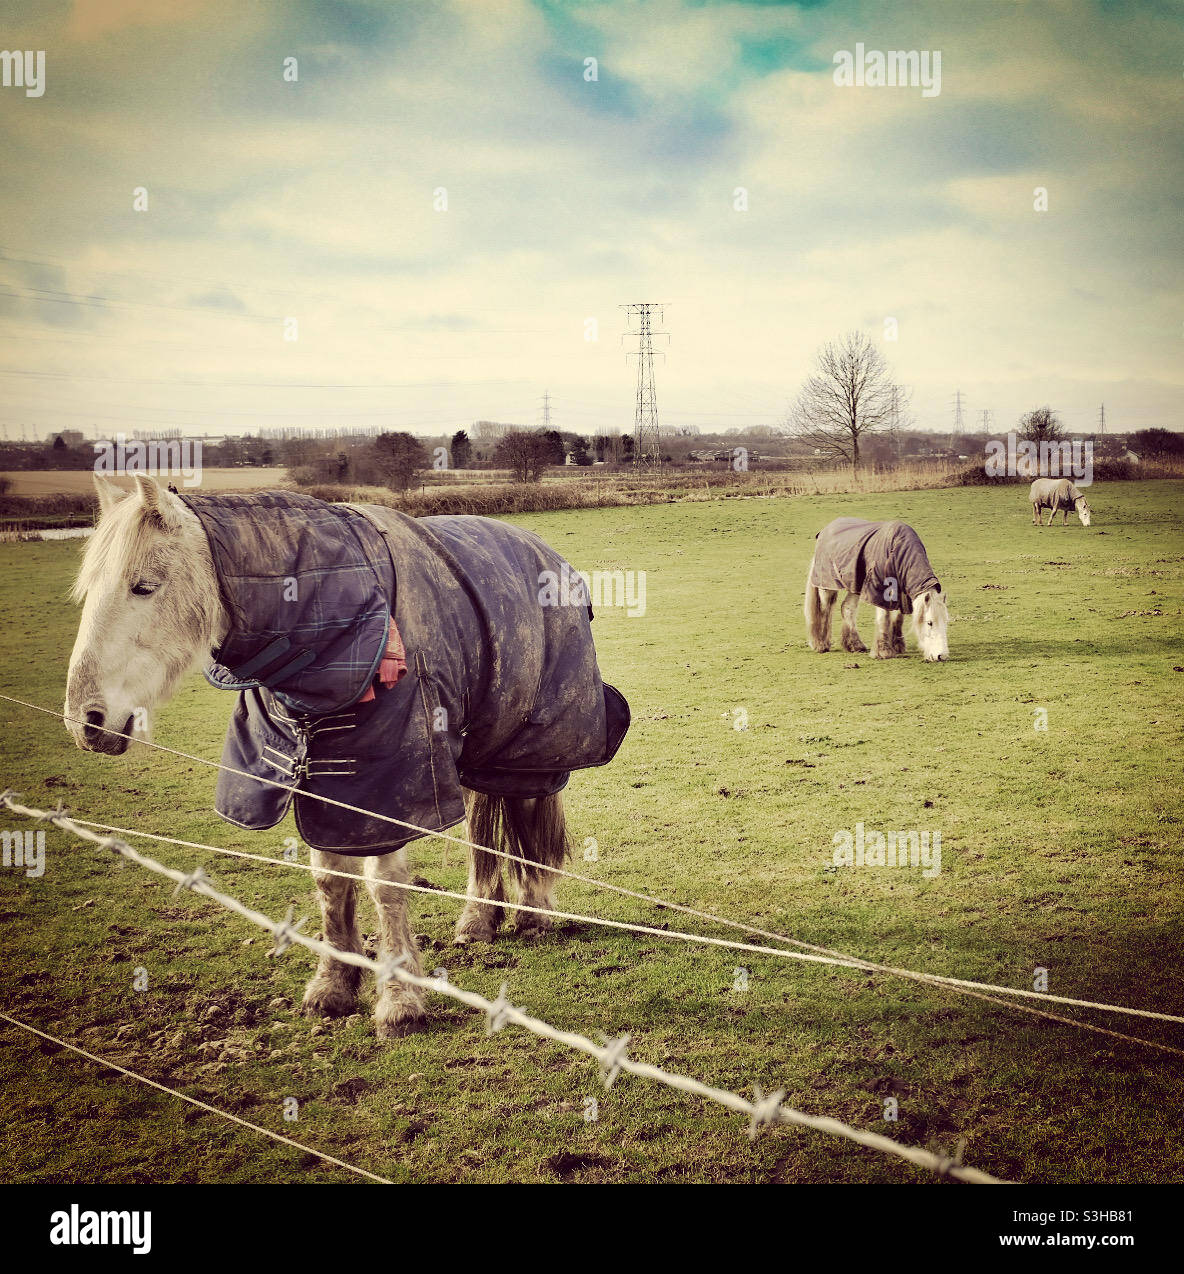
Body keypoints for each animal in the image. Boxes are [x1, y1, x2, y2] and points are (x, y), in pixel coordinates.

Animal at [65, 474, 629, 1037]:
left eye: (143, 586)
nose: (84, 720)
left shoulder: (387, 786)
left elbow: (384, 885)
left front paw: (400, 1001)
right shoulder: (325, 783)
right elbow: (331, 880)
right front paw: (333, 986)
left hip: (531, 744)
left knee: (527, 814)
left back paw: (532, 914)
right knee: (481, 832)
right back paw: (477, 921)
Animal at [804, 517, 949, 661]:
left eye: (946, 622)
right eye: (930, 623)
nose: (941, 656)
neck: (898, 550)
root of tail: (825, 530)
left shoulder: (901, 592)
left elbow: (897, 617)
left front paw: (897, 646)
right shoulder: (880, 589)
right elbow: (884, 617)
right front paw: (883, 652)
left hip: (855, 587)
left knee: (847, 608)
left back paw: (855, 645)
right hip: (826, 586)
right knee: (824, 610)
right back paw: (821, 644)